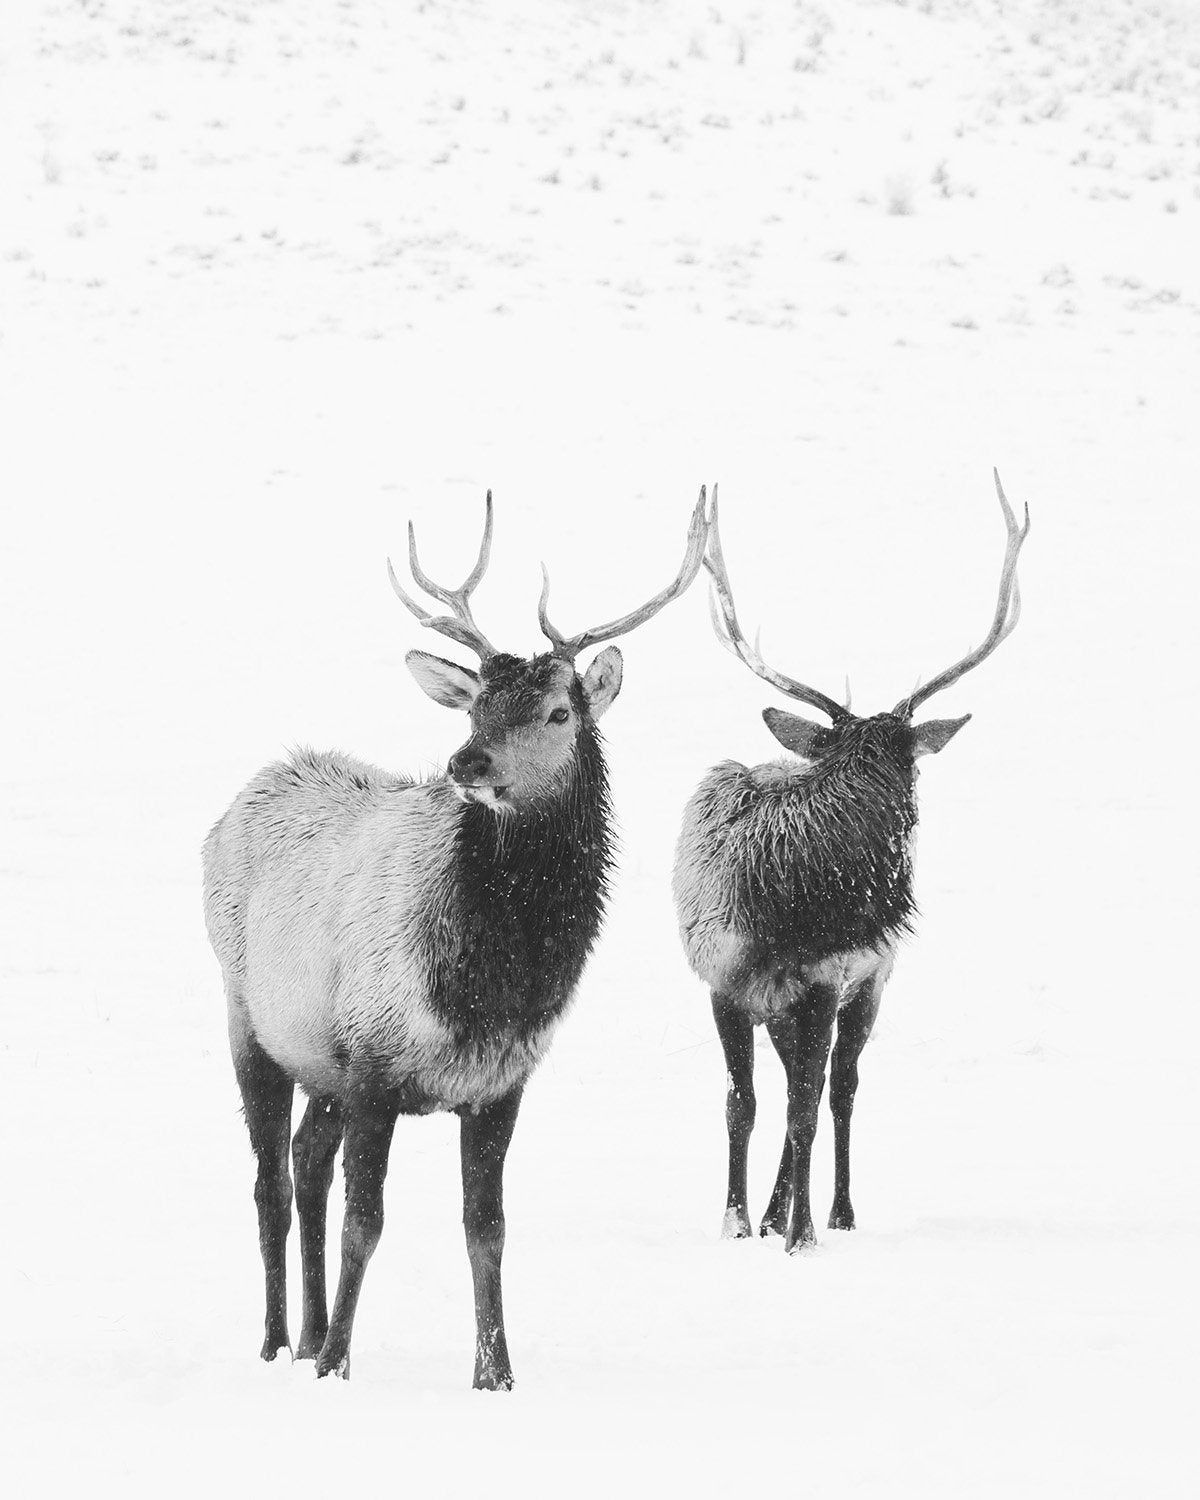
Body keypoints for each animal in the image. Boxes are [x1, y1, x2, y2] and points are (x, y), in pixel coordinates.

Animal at [203, 489, 707, 1389]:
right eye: (476, 704)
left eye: (559, 710)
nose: (467, 762)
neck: (493, 984)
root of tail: (247, 792)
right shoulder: (374, 1064)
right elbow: (367, 1220)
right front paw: (339, 1364)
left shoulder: (500, 1082)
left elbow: (487, 1227)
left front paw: (495, 1374)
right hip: (247, 1017)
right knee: (268, 1180)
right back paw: (278, 1343)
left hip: (319, 1058)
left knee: (304, 1160)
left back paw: (306, 1334)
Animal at [673, 472, 1029, 1253]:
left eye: (912, 766)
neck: (784, 915)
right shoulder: (723, 981)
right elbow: (741, 1104)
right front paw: (737, 1222)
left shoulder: (827, 982)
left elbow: (806, 1109)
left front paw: (800, 1236)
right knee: (794, 1091)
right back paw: (773, 1212)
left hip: (868, 986)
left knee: (838, 1091)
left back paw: (833, 1212)